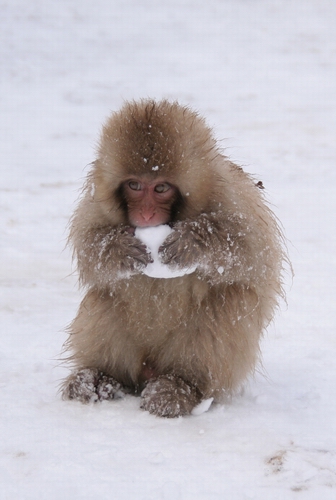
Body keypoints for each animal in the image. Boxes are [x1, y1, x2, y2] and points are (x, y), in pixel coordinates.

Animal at [61, 98, 286, 418]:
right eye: (134, 185)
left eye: (161, 188)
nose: (145, 214)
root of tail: (150, 370)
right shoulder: (97, 200)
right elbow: (89, 245)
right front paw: (118, 248)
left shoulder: (233, 195)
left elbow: (252, 252)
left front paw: (191, 242)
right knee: (105, 297)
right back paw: (99, 378)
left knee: (227, 303)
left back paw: (181, 388)